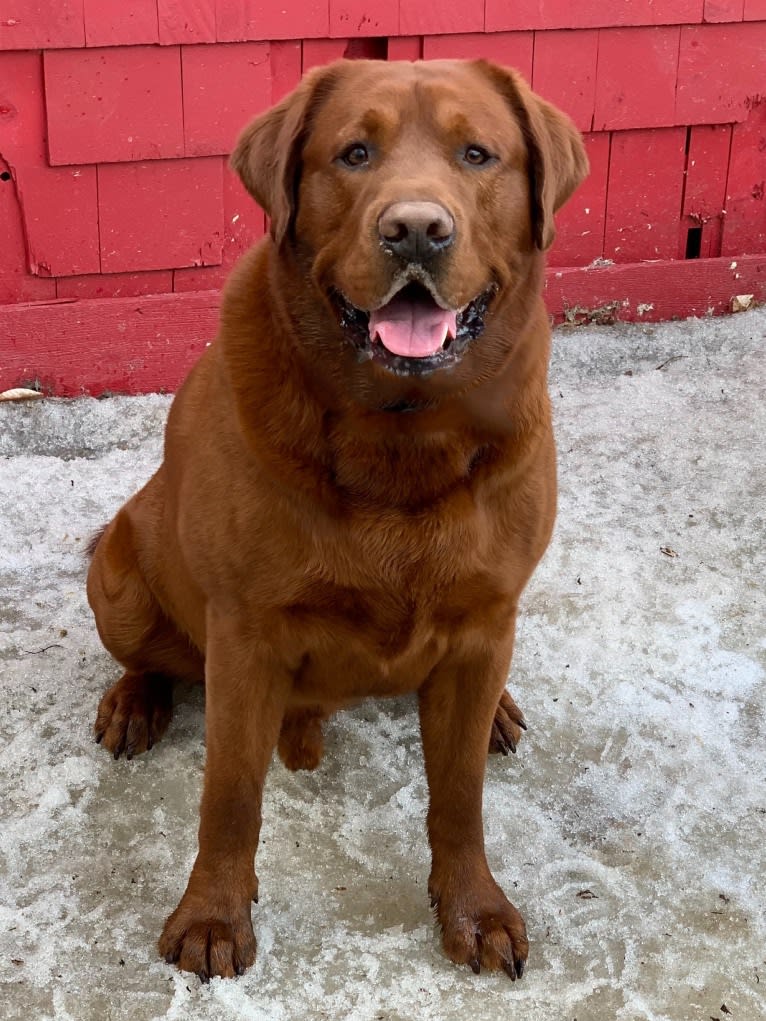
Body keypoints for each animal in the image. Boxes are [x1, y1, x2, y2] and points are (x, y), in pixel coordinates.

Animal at [86, 57, 588, 980]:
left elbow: (459, 796)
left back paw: (499, 710)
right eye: (355, 153)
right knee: (150, 651)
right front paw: (212, 914)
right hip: (120, 575)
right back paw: (136, 700)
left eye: (477, 153)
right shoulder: (245, 632)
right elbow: (230, 794)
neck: (399, 430)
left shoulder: (486, 615)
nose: (417, 229)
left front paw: (473, 907)